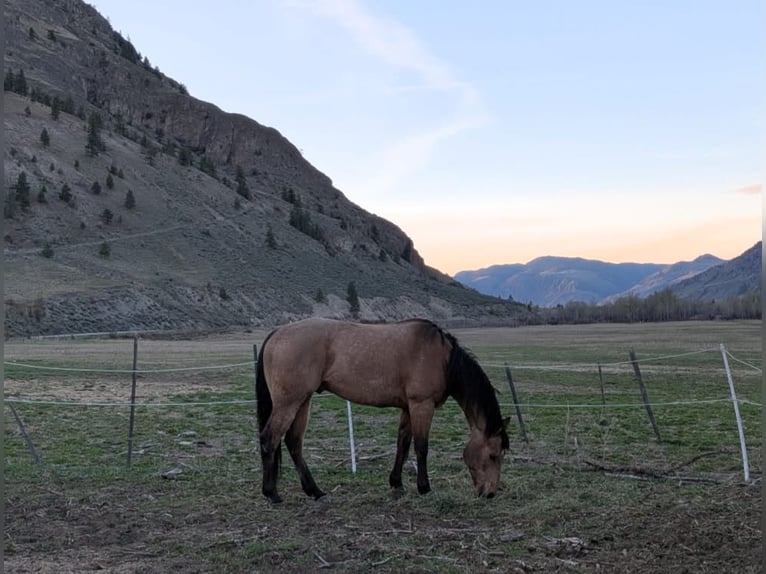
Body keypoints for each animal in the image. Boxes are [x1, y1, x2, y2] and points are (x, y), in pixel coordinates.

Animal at [256, 317, 510, 503]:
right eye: (493, 455)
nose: (489, 493)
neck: (442, 358)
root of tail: (277, 332)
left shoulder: (408, 407)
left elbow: (403, 445)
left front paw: (396, 483)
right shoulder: (422, 405)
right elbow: (421, 448)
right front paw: (424, 487)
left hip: (302, 401)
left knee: (293, 442)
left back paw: (315, 491)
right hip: (289, 402)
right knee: (270, 439)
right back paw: (272, 494)